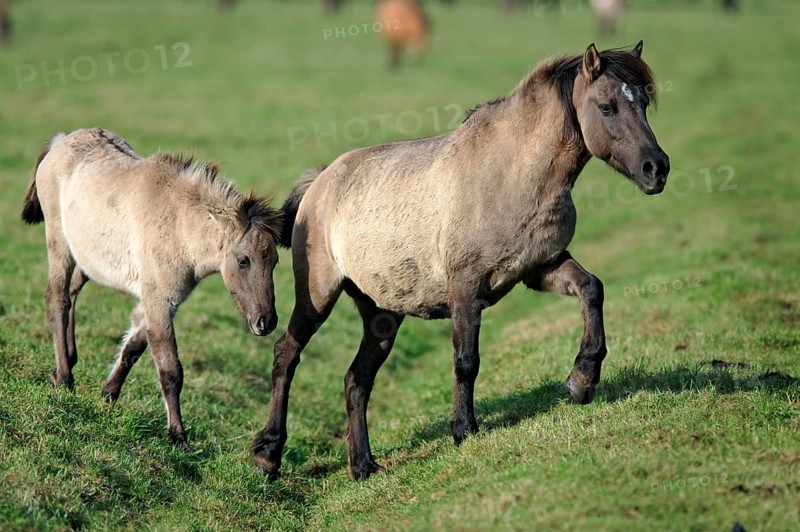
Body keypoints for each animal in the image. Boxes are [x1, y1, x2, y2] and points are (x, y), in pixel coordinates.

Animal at [22, 128, 282, 449]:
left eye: (275, 261)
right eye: (243, 261)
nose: (266, 322)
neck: (178, 224)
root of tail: (61, 140)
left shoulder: (159, 301)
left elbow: (134, 347)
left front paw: (108, 395)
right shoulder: (159, 300)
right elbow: (170, 371)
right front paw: (178, 437)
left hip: (86, 259)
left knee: (71, 294)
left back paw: (68, 360)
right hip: (59, 243)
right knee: (57, 300)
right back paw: (64, 379)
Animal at [253, 41, 670, 480]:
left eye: (643, 102)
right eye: (607, 106)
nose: (656, 168)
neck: (510, 173)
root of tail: (318, 183)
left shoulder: (542, 267)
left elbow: (592, 289)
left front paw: (582, 380)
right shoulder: (467, 288)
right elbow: (466, 359)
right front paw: (464, 429)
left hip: (382, 315)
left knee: (356, 379)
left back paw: (363, 465)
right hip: (317, 297)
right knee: (286, 355)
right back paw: (268, 455)